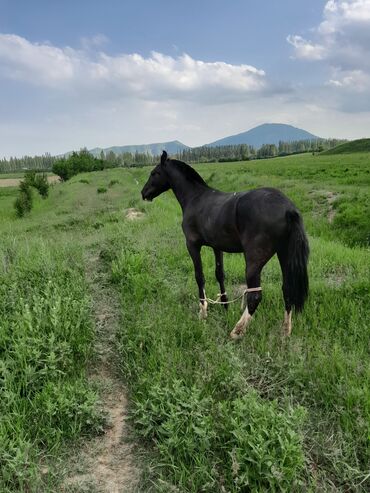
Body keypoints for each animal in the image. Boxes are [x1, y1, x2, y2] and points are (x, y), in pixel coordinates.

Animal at [140, 151, 308, 338]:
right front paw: (225, 306)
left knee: (255, 296)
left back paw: (236, 331)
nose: (143, 193)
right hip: (284, 254)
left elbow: (199, 276)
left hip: (254, 261)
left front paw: (203, 312)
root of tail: (288, 208)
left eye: (154, 173)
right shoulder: (217, 247)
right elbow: (220, 274)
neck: (196, 198)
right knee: (287, 289)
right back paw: (285, 331)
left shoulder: (192, 245)